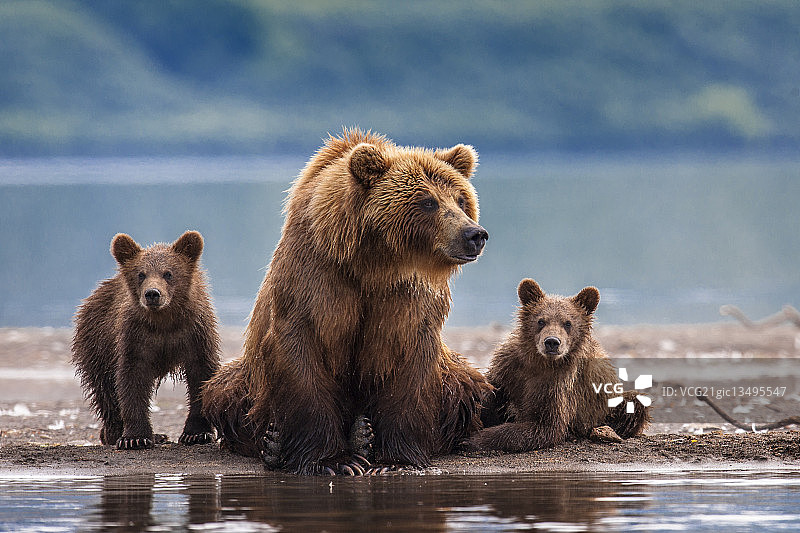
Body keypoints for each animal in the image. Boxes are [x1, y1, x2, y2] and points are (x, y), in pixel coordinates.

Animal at [203, 130, 490, 474]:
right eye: (428, 201)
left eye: (461, 199)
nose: (474, 234)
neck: (374, 262)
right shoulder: (316, 276)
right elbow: (302, 353)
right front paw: (334, 461)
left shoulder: (407, 298)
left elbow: (410, 363)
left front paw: (394, 461)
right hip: (249, 380)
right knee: (223, 391)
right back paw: (273, 444)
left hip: (454, 375)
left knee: (467, 385)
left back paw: (362, 434)